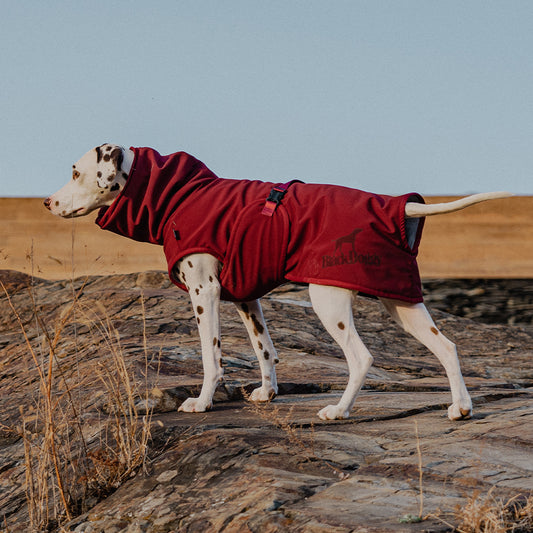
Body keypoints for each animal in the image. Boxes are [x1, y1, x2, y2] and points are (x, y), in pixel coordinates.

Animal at [43, 144, 510, 420]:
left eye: (76, 172)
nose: (46, 202)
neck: (178, 194)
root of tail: (397, 206)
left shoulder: (205, 292)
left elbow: (211, 357)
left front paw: (203, 402)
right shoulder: (246, 298)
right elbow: (264, 349)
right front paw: (267, 394)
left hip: (328, 301)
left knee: (361, 358)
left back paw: (338, 411)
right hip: (402, 303)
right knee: (448, 347)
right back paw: (461, 407)